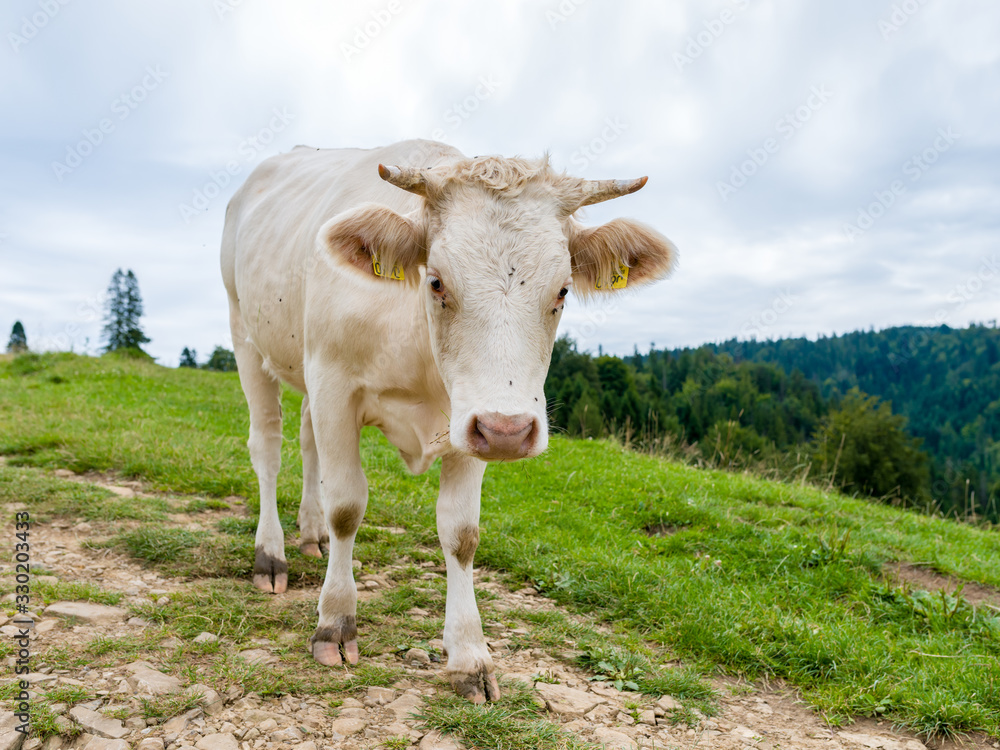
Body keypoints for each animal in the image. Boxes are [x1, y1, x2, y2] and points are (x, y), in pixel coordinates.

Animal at [217, 140, 672, 704]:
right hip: (245, 336)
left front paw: (469, 656)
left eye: (563, 291)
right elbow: (346, 505)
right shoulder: (334, 384)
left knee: (306, 444)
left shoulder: (471, 419)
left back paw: (311, 533)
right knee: (268, 447)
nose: (510, 433)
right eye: (436, 281)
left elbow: (461, 533)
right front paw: (335, 623)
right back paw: (272, 555)